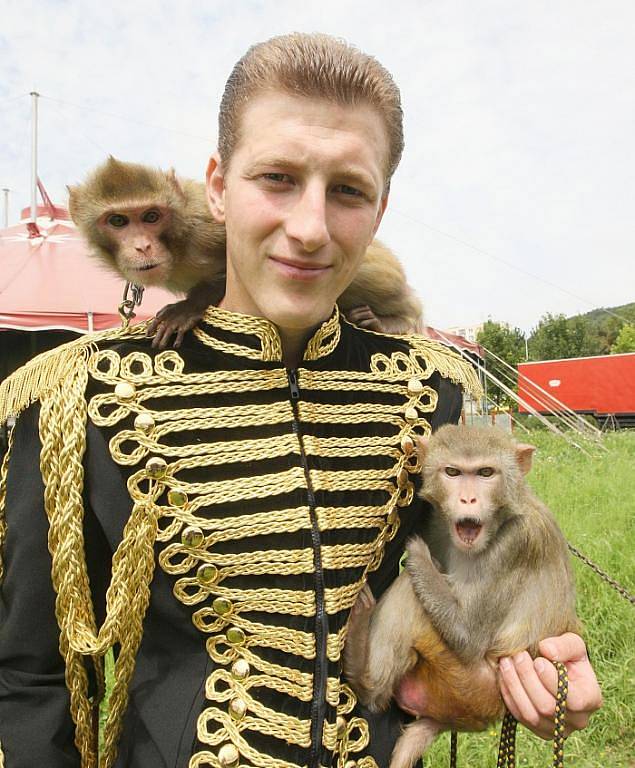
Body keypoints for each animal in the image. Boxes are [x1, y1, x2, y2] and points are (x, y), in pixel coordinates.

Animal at [68, 158, 422, 346]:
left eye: (151, 216)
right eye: (118, 221)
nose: (141, 245)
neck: (178, 242)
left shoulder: (206, 229)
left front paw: (186, 309)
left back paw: (399, 320)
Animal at [346, 426, 580, 768]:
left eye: (485, 473)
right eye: (453, 472)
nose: (468, 498)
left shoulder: (514, 545)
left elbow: (468, 635)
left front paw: (417, 554)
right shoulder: (437, 523)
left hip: (469, 683)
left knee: (410, 591)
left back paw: (365, 678)